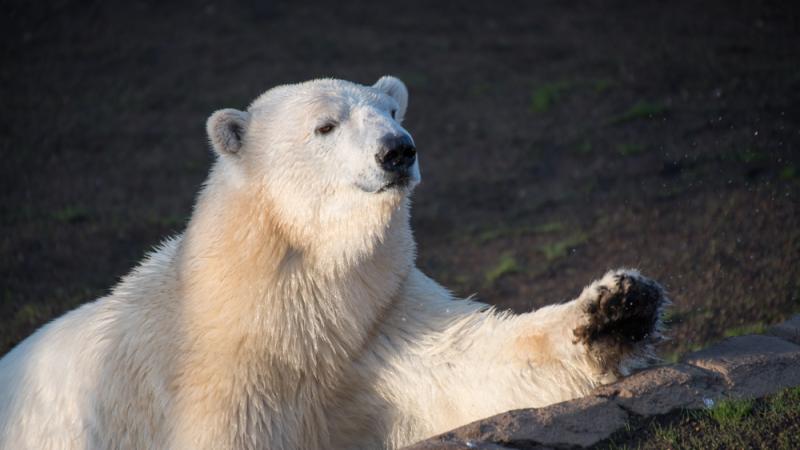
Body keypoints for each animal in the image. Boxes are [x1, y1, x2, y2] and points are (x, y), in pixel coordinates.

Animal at [0, 77, 668, 450]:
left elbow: (469, 365)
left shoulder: (375, 321)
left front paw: (617, 310)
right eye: (325, 125)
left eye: (393, 112)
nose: (398, 151)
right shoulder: (214, 383)